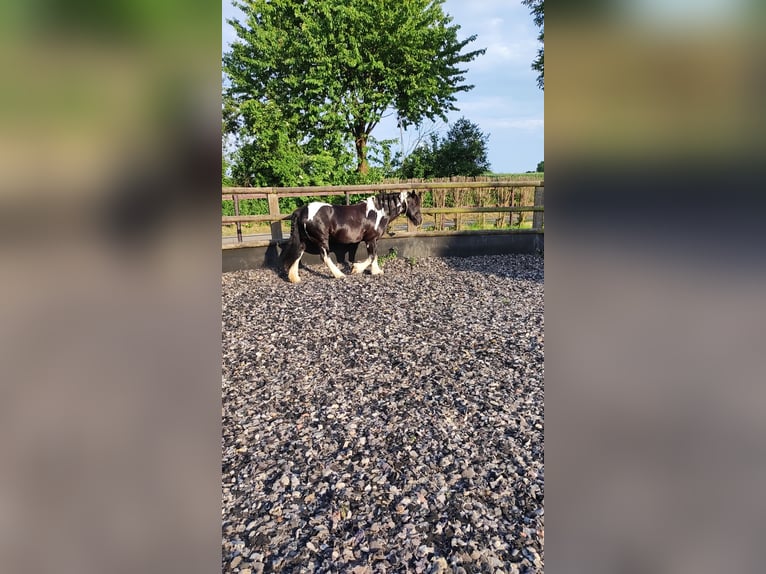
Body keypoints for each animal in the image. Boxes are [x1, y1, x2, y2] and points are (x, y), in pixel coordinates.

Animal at [282, 192, 426, 284]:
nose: (419, 220)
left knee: (298, 254)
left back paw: (295, 278)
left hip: (304, 240)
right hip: (322, 240)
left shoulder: (373, 240)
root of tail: (302, 211)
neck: (378, 212)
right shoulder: (370, 239)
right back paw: (339, 275)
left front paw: (376, 271)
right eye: (414, 204)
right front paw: (356, 269)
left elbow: (374, 256)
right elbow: (371, 256)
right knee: (325, 257)